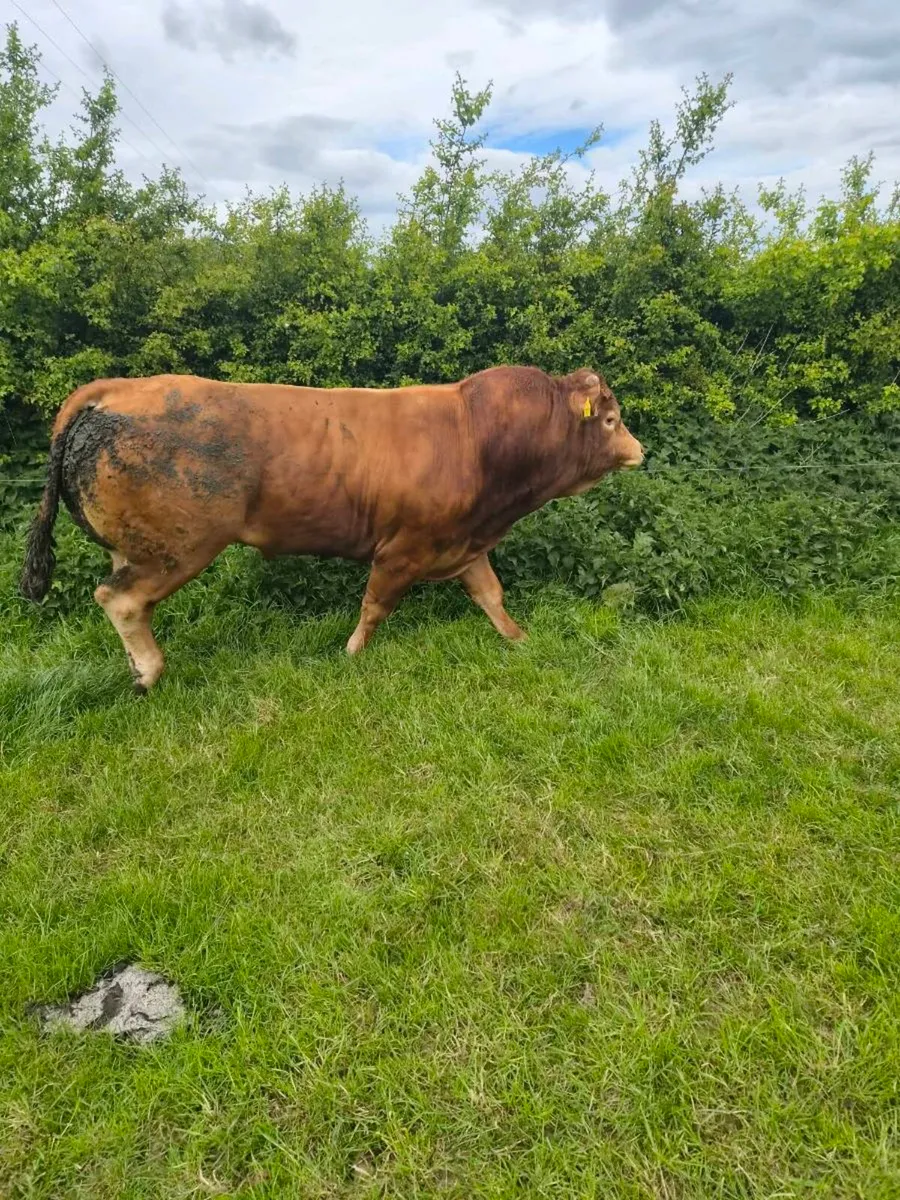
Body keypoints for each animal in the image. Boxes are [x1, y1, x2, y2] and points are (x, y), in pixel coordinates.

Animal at [20, 365, 643, 691]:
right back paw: (149, 672)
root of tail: (118, 387)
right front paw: (351, 652)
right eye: (612, 419)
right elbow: (375, 605)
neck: (477, 437)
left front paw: (518, 639)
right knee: (120, 600)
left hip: (137, 547)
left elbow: (491, 596)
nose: (639, 449)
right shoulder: (404, 548)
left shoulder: (464, 543)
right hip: (178, 547)